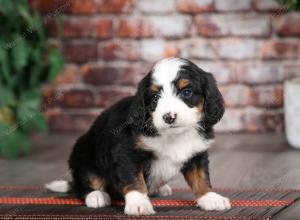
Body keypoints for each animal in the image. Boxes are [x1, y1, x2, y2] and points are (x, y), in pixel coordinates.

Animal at [46, 57, 230, 214]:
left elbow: (201, 177)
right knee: (85, 182)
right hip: (84, 154)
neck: (173, 135)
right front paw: (138, 203)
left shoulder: (197, 152)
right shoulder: (126, 152)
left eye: (187, 92)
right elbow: (134, 179)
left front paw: (210, 197)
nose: (169, 117)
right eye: (155, 97)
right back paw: (96, 195)